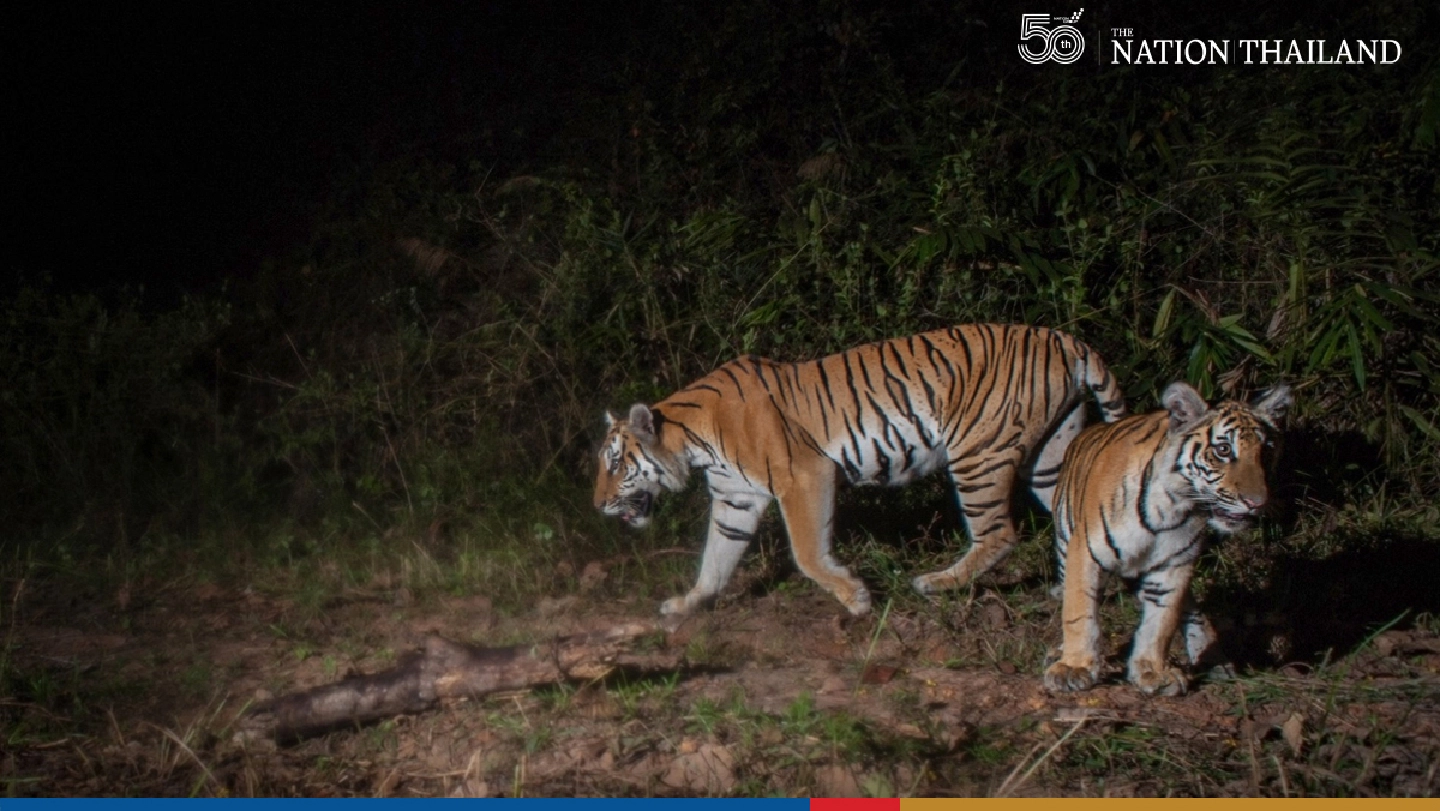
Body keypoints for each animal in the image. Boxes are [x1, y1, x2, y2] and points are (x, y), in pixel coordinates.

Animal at [593, 323, 1127, 618]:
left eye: (616, 463)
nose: (597, 506)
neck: (692, 441)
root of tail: (1066, 339)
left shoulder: (804, 474)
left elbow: (807, 552)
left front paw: (856, 598)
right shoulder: (735, 499)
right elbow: (715, 561)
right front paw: (688, 605)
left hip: (978, 452)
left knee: (999, 534)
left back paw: (934, 583)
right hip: (1050, 453)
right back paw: (1068, 590)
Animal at [1043, 381, 1291, 697]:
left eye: (1266, 452)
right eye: (1223, 450)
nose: (1256, 503)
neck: (1172, 507)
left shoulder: (1174, 566)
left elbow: (1161, 622)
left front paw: (1152, 672)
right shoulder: (1084, 553)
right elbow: (1079, 612)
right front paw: (1073, 669)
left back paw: (1214, 659)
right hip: (1065, 542)